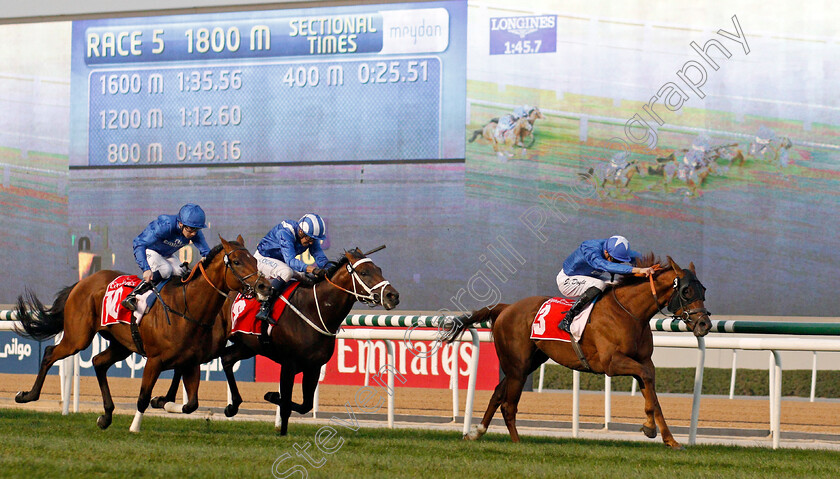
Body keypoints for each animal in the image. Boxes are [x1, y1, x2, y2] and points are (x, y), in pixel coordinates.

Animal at [13, 238, 270, 434]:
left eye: (255, 260)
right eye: (237, 261)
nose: (264, 286)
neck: (186, 309)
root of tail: (83, 282)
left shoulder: (191, 362)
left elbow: (191, 404)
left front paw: (163, 402)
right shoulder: (155, 360)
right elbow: (143, 397)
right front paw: (135, 426)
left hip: (121, 344)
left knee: (98, 362)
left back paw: (106, 416)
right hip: (78, 337)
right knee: (50, 353)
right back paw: (27, 395)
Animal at [442, 256, 712, 448]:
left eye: (704, 290)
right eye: (686, 291)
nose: (704, 324)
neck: (629, 312)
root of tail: (506, 307)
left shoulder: (643, 360)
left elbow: (652, 393)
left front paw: (668, 438)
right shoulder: (611, 363)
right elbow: (646, 379)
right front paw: (650, 428)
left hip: (528, 363)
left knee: (498, 393)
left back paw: (476, 433)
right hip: (517, 366)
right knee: (508, 404)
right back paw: (518, 443)